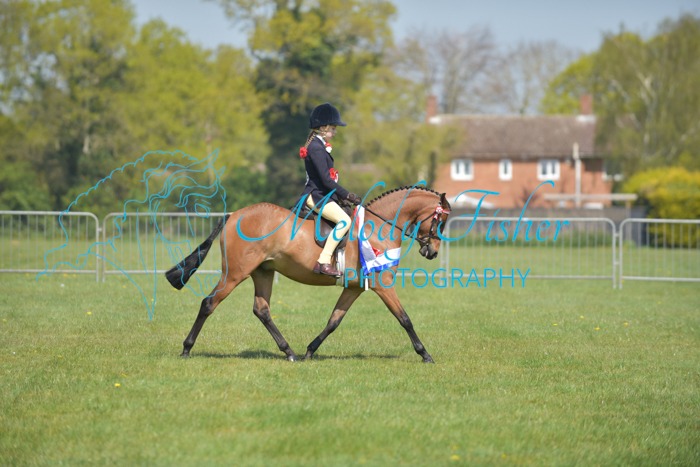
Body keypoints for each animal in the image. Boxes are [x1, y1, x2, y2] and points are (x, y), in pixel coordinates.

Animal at [165, 185, 452, 363]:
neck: (377, 227)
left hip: (262, 273)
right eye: (439, 220)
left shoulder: (354, 288)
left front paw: (310, 352)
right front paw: (425, 354)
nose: (432, 251)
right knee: (209, 303)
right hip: (235, 273)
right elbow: (405, 319)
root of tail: (234, 214)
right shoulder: (383, 284)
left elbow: (334, 321)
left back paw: (289, 352)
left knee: (261, 310)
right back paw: (186, 349)